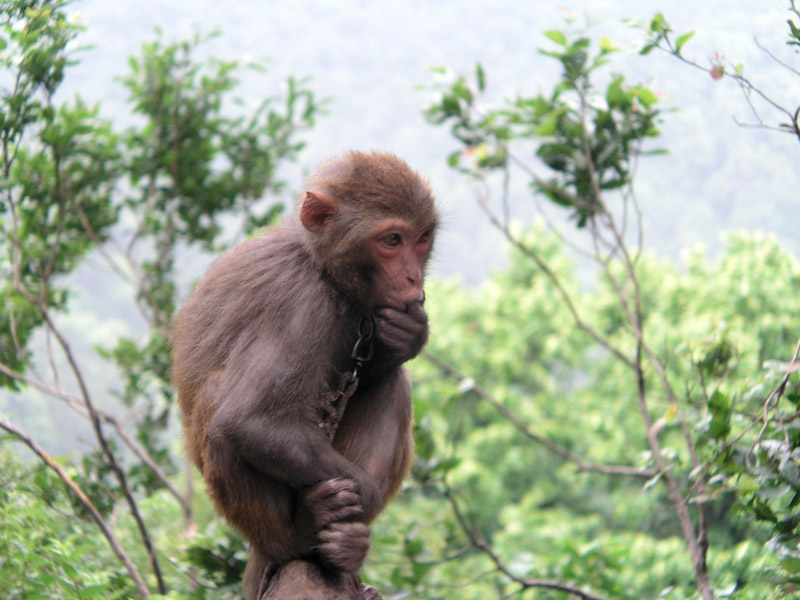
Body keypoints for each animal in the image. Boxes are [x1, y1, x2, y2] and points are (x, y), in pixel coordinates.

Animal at [168, 152, 438, 596]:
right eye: (392, 241)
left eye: (423, 238)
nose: (414, 278)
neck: (322, 267)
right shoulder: (302, 303)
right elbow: (250, 421)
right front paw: (365, 497)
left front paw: (409, 336)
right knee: (219, 400)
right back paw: (299, 536)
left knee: (391, 385)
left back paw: (346, 548)